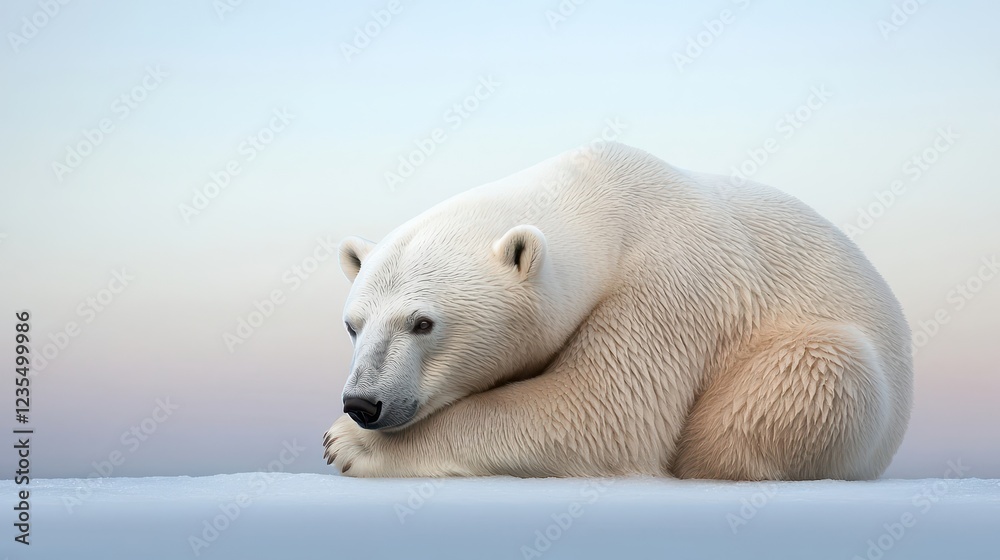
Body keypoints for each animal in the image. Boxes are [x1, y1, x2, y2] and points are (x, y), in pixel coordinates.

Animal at [323, 142, 913, 480]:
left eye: (422, 323)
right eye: (352, 326)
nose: (362, 404)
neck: (606, 203)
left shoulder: (672, 280)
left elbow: (599, 410)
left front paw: (345, 444)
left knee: (821, 365)